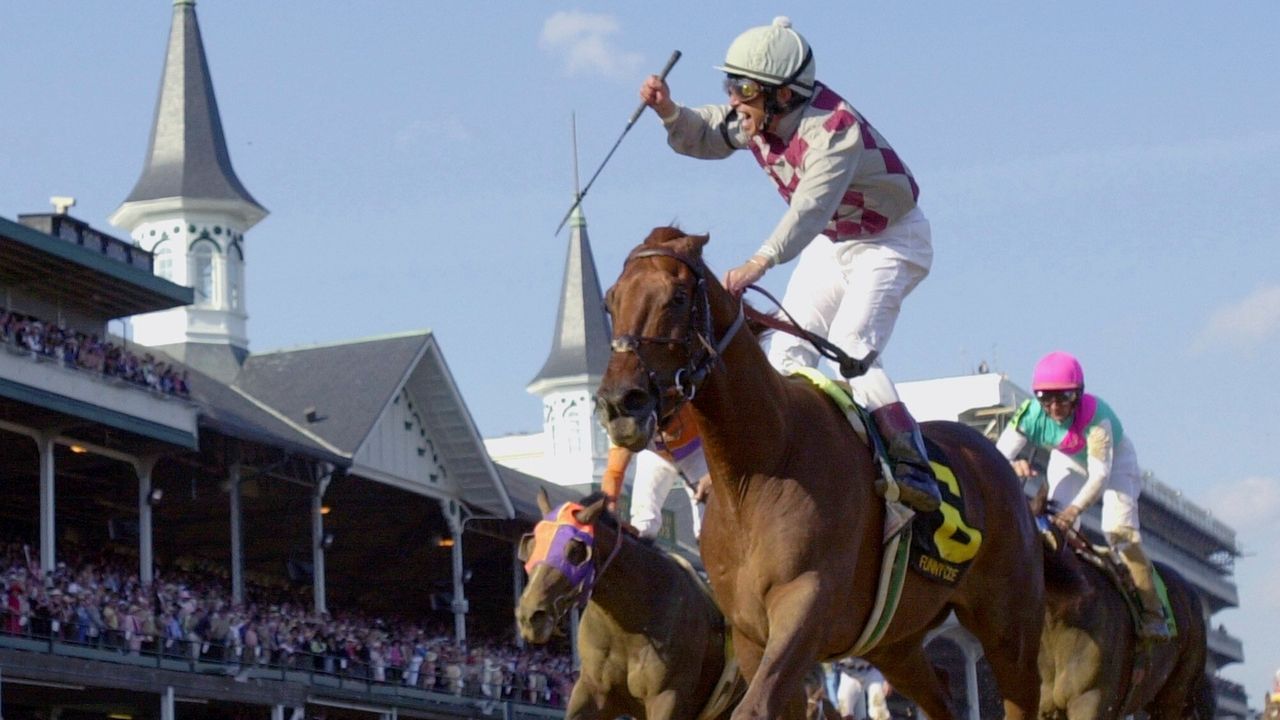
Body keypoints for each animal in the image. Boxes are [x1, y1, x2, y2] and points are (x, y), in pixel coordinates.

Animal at [514, 486, 747, 717]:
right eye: (532, 545)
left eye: (575, 551)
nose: (530, 616)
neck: (627, 627)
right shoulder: (592, 689)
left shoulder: (667, 697)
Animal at [593, 228, 1044, 717]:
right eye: (611, 301)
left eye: (676, 297)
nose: (620, 402)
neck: (758, 470)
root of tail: (994, 457)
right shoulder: (751, 635)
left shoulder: (806, 604)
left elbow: (754, 707)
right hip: (896, 644)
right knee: (942, 695)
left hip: (1009, 631)